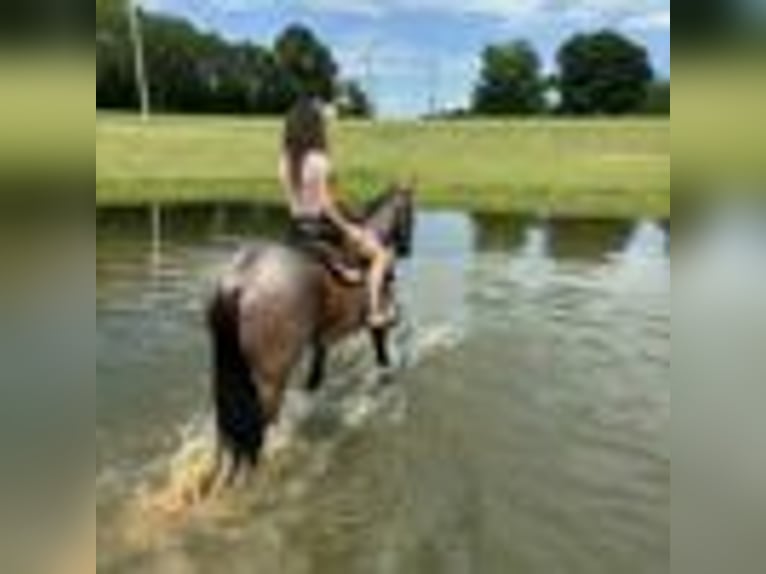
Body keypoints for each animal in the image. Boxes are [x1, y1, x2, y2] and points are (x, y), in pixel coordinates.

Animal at [206, 186, 414, 485]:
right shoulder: (377, 325)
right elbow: (382, 354)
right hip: (270, 379)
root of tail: (238, 282)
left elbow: (315, 377)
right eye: (410, 212)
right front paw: (386, 379)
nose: (407, 248)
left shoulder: (320, 339)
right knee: (262, 423)